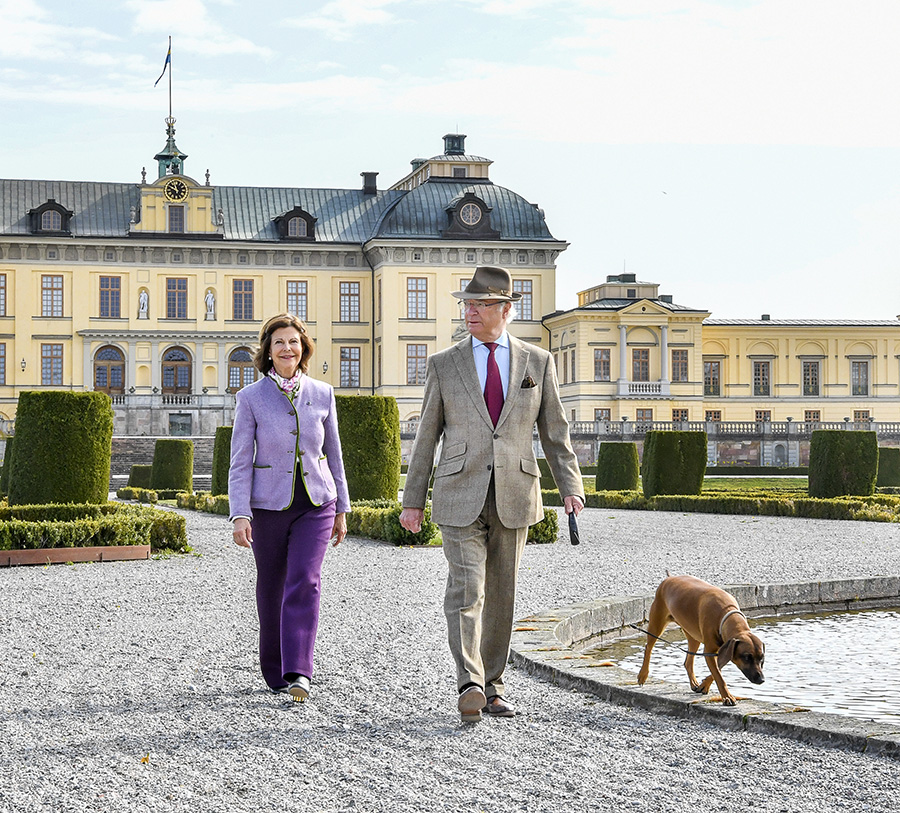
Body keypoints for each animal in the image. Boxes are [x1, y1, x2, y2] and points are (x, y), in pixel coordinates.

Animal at [636, 572, 764, 704]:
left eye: (762, 659)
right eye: (746, 657)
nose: (761, 679)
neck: (726, 614)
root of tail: (668, 578)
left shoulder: (723, 650)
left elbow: (717, 670)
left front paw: (704, 685)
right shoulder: (709, 651)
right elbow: (719, 676)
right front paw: (727, 696)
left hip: (693, 634)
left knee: (688, 662)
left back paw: (693, 682)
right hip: (657, 623)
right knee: (648, 647)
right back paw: (643, 674)